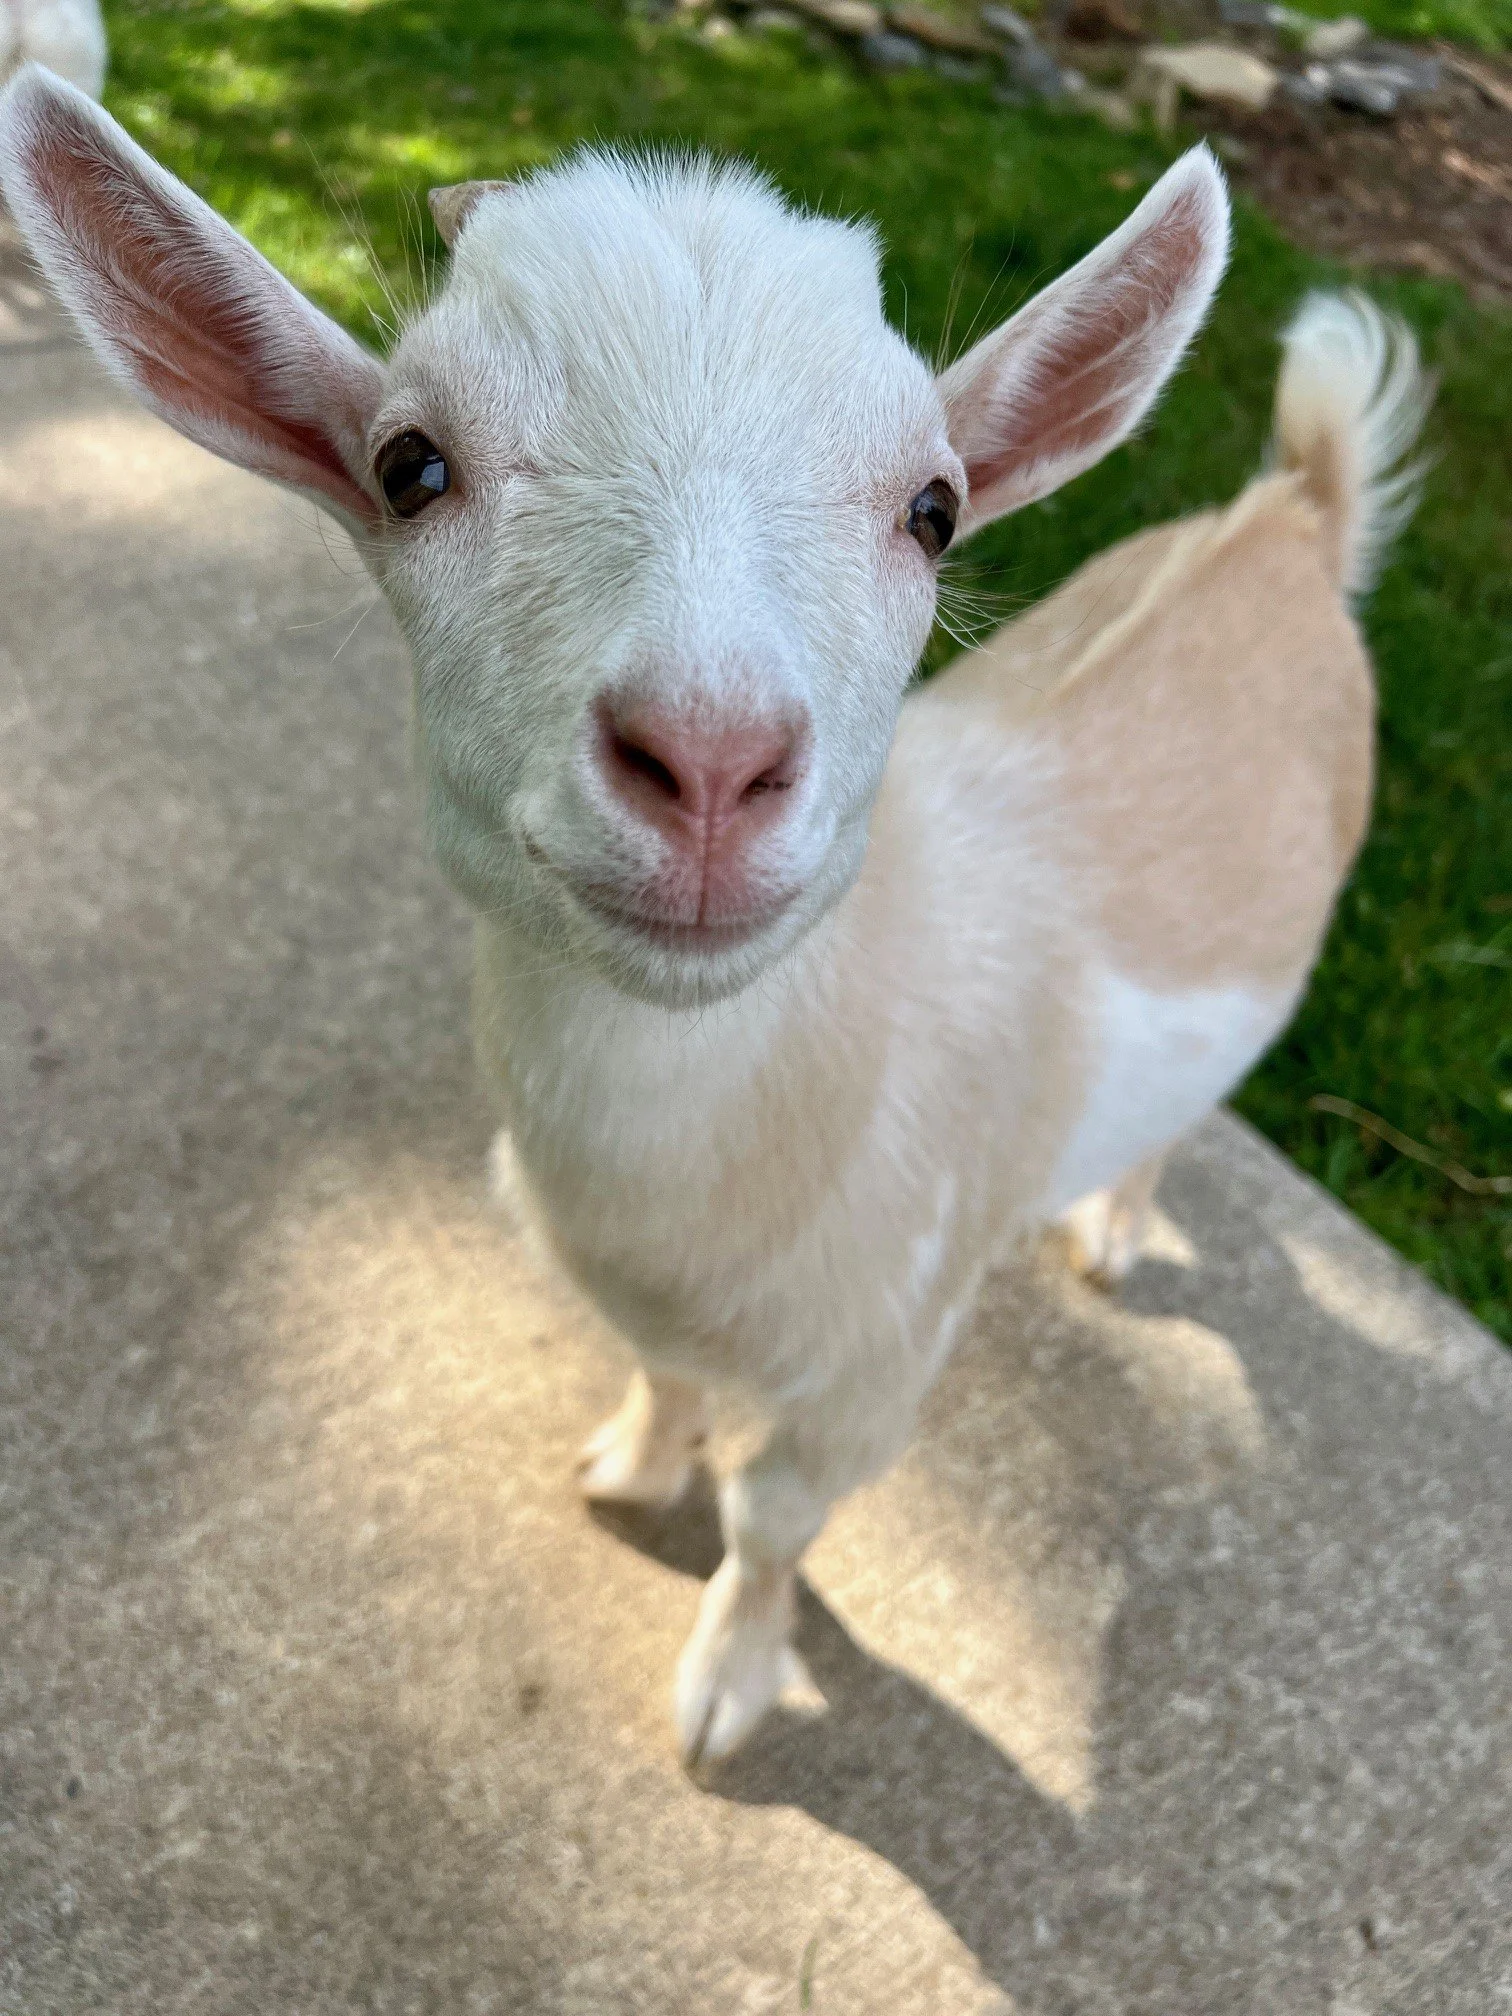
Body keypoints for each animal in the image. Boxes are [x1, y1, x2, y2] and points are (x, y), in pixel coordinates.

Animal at [0, 66, 1427, 1764]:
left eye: (937, 509)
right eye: (410, 466)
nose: (708, 760)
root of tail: (1292, 516)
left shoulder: (879, 1359)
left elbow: (770, 1519)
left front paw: (727, 1690)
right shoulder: (640, 1293)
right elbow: (661, 1381)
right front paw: (631, 1466)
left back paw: (1116, 1233)